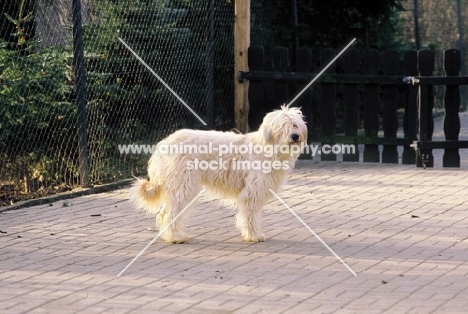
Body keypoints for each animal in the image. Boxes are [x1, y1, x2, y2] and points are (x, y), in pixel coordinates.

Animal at [130, 105, 308, 243]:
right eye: (281, 127)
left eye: (295, 125)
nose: (294, 136)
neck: (267, 147)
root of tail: (164, 144)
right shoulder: (251, 192)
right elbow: (249, 216)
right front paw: (253, 235)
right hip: (183, 185)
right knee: (170, 213)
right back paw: (176, 237)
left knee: (164, 213)